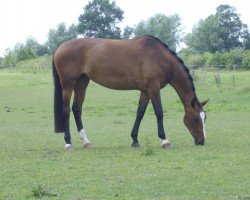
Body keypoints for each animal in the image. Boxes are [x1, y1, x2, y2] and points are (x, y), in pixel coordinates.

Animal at [53, 35, 209, 150]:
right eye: (196, 118)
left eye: (205, 118)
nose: (202, 141)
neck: (160, 57)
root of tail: (60, 47)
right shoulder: (154, 88)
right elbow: (159, 112)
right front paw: (165, 140)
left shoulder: (146, 91)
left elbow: (140, 113)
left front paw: (134, 140)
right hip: (68, 84)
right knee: (66, 110)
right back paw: (68, 143)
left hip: (82, 81)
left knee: (76, 109)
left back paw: (85, 141)